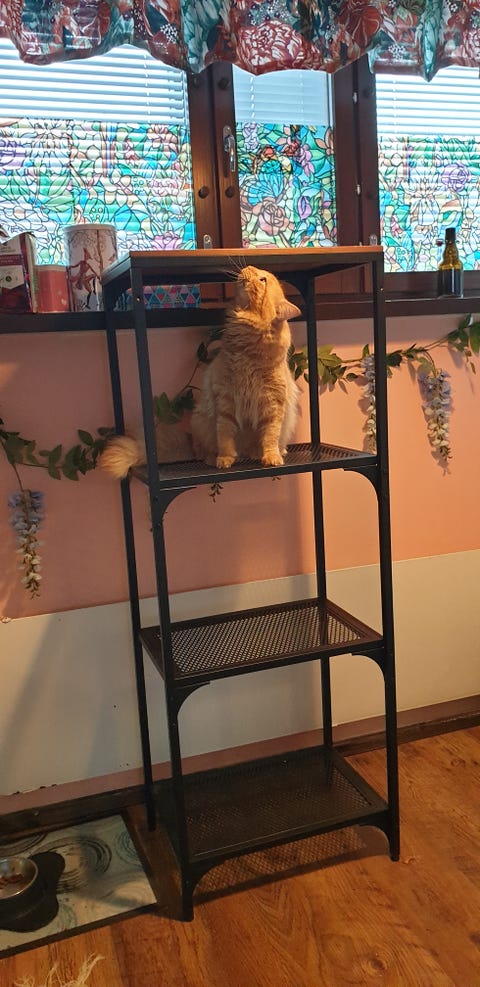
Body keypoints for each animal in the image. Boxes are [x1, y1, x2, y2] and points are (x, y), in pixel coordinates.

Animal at [100, 265, 301, 478]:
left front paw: (271, 457)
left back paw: (275, 451)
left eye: (263, 280)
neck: (248, 352)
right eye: (258, 274)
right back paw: (214, 458)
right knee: (203, 450)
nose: (249, 266)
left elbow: (270, 436)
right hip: (201, 420)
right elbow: (225, 436)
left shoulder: (273, 404)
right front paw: (225, 459)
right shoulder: (225, 401)